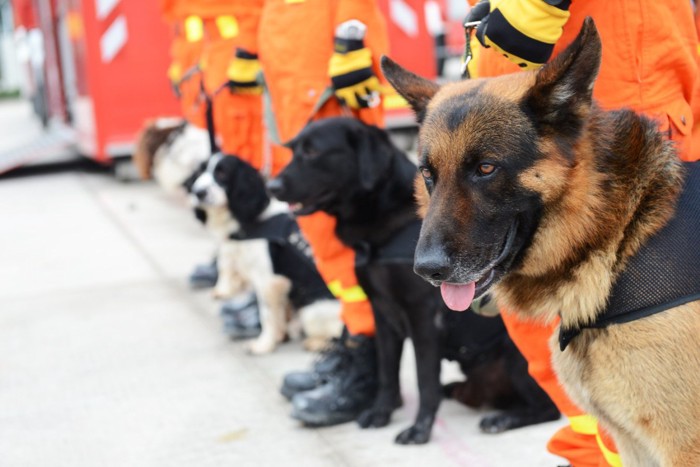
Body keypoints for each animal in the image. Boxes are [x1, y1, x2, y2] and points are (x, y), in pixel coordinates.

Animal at [189, 154, 342, 354]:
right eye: (200, 171)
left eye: (222, 173)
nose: (198, 192)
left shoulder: (267, 281)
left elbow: (267, 315)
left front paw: (264, 345)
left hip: (313, 310)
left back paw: (317, 342)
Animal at [266, 118, 556, 446]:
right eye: (293, 150)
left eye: (313, 152)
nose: (271, 187)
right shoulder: (382, 314)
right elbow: (387, 372)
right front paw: (381, 413)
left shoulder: (423, 319)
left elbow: (424, 380)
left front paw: (419, 429)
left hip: (517, 360)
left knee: (549, 408)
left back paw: (503, 418)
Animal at [382, 18, 700, 467]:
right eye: (428, 174)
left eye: (485, 168)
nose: (427, 270)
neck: (622, 234)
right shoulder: (633, 445)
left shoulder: (681, 446)